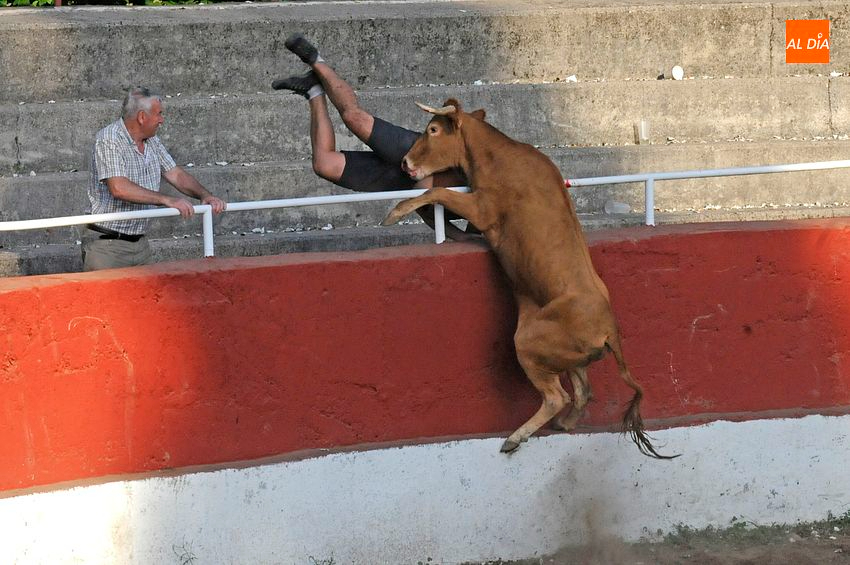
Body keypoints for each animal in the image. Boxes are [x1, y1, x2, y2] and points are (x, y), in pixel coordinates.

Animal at [382, 98, 677, 459]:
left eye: (433, 130)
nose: (405, 163)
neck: (497, 154)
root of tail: (609, 329)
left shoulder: (481, 208)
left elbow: (439, 193)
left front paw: (395, 212)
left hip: (527, 343)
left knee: (557, 397)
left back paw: (515, 437)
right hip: (566, 356)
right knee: (583, 391)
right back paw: (564, 425)